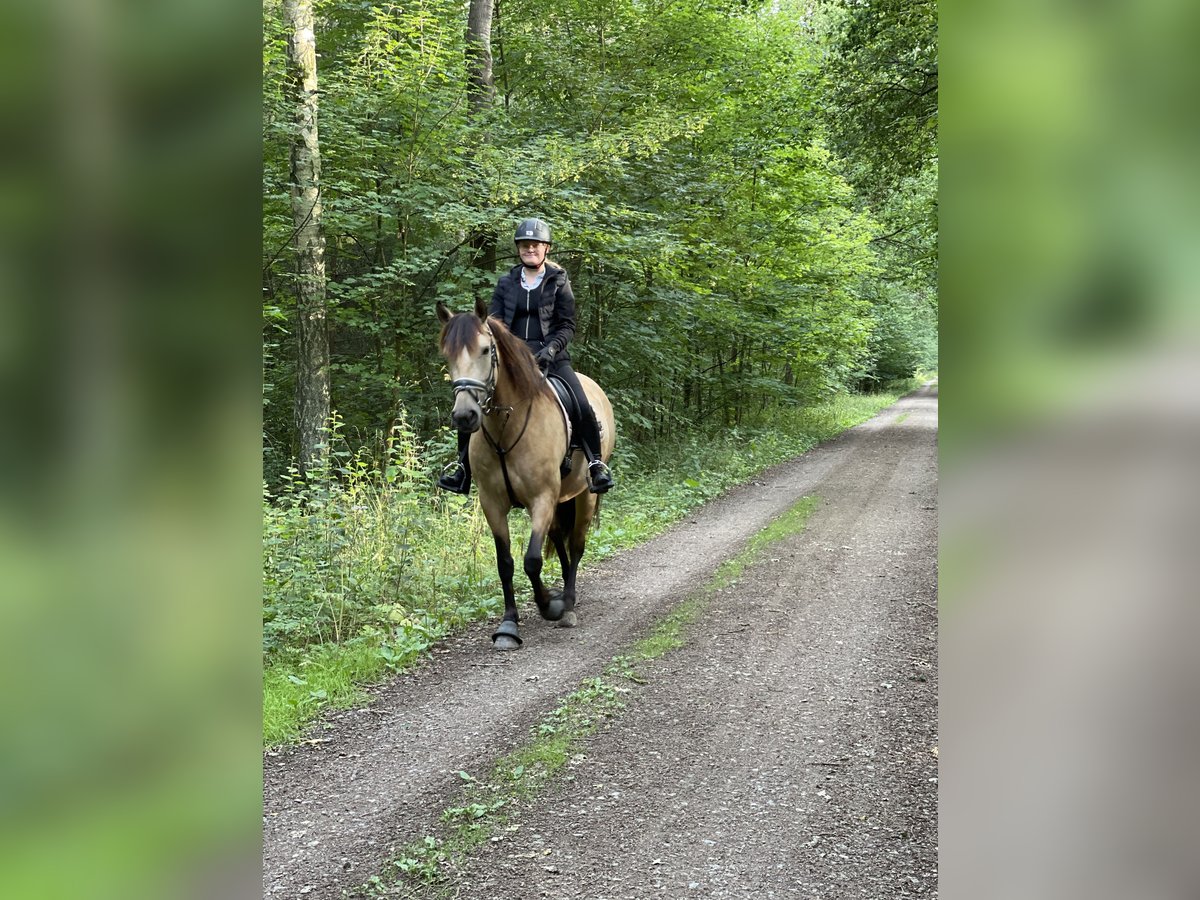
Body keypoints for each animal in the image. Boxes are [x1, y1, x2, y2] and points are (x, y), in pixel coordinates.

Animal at [434, 300, 619, 652]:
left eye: (485, 350)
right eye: (447, 354)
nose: (465, 416)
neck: (506, 427)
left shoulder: (541, 498)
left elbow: (531, 559)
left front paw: (550, 606)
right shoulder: (492, 503)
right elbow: (505, 563)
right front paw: (509, 624)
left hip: (584, 496)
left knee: (576, 544)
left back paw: (568, 603)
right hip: (563, 498)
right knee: (560, 539)